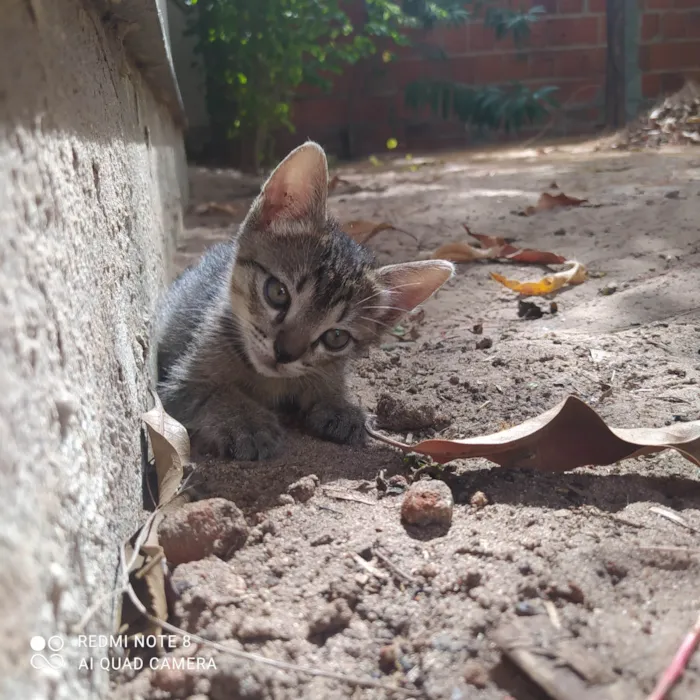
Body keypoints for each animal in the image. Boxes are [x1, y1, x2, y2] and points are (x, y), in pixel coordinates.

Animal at [157, 142, 456, 460]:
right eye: (277, 293)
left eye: (336, 337)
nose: (284, 354)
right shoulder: (178, 384)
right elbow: (213, 392)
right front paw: (247, 422)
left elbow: (326, 381)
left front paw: (340, 405)